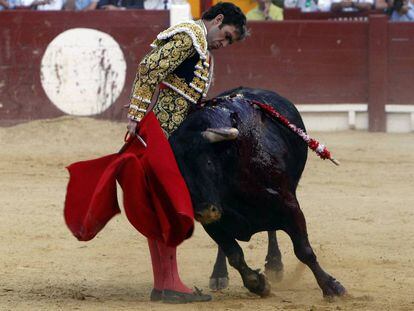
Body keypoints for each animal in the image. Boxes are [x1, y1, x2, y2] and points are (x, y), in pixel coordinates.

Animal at [168, 86, 346, 298]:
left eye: (209, 163)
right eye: (177, 173)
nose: (204, 211)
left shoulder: (289, 206)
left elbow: (304, 251)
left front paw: (332, 287)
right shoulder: (213, 224)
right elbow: (234, 255)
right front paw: (257, 284)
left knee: (273, 231)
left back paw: (275, 264)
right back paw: (219, 275)